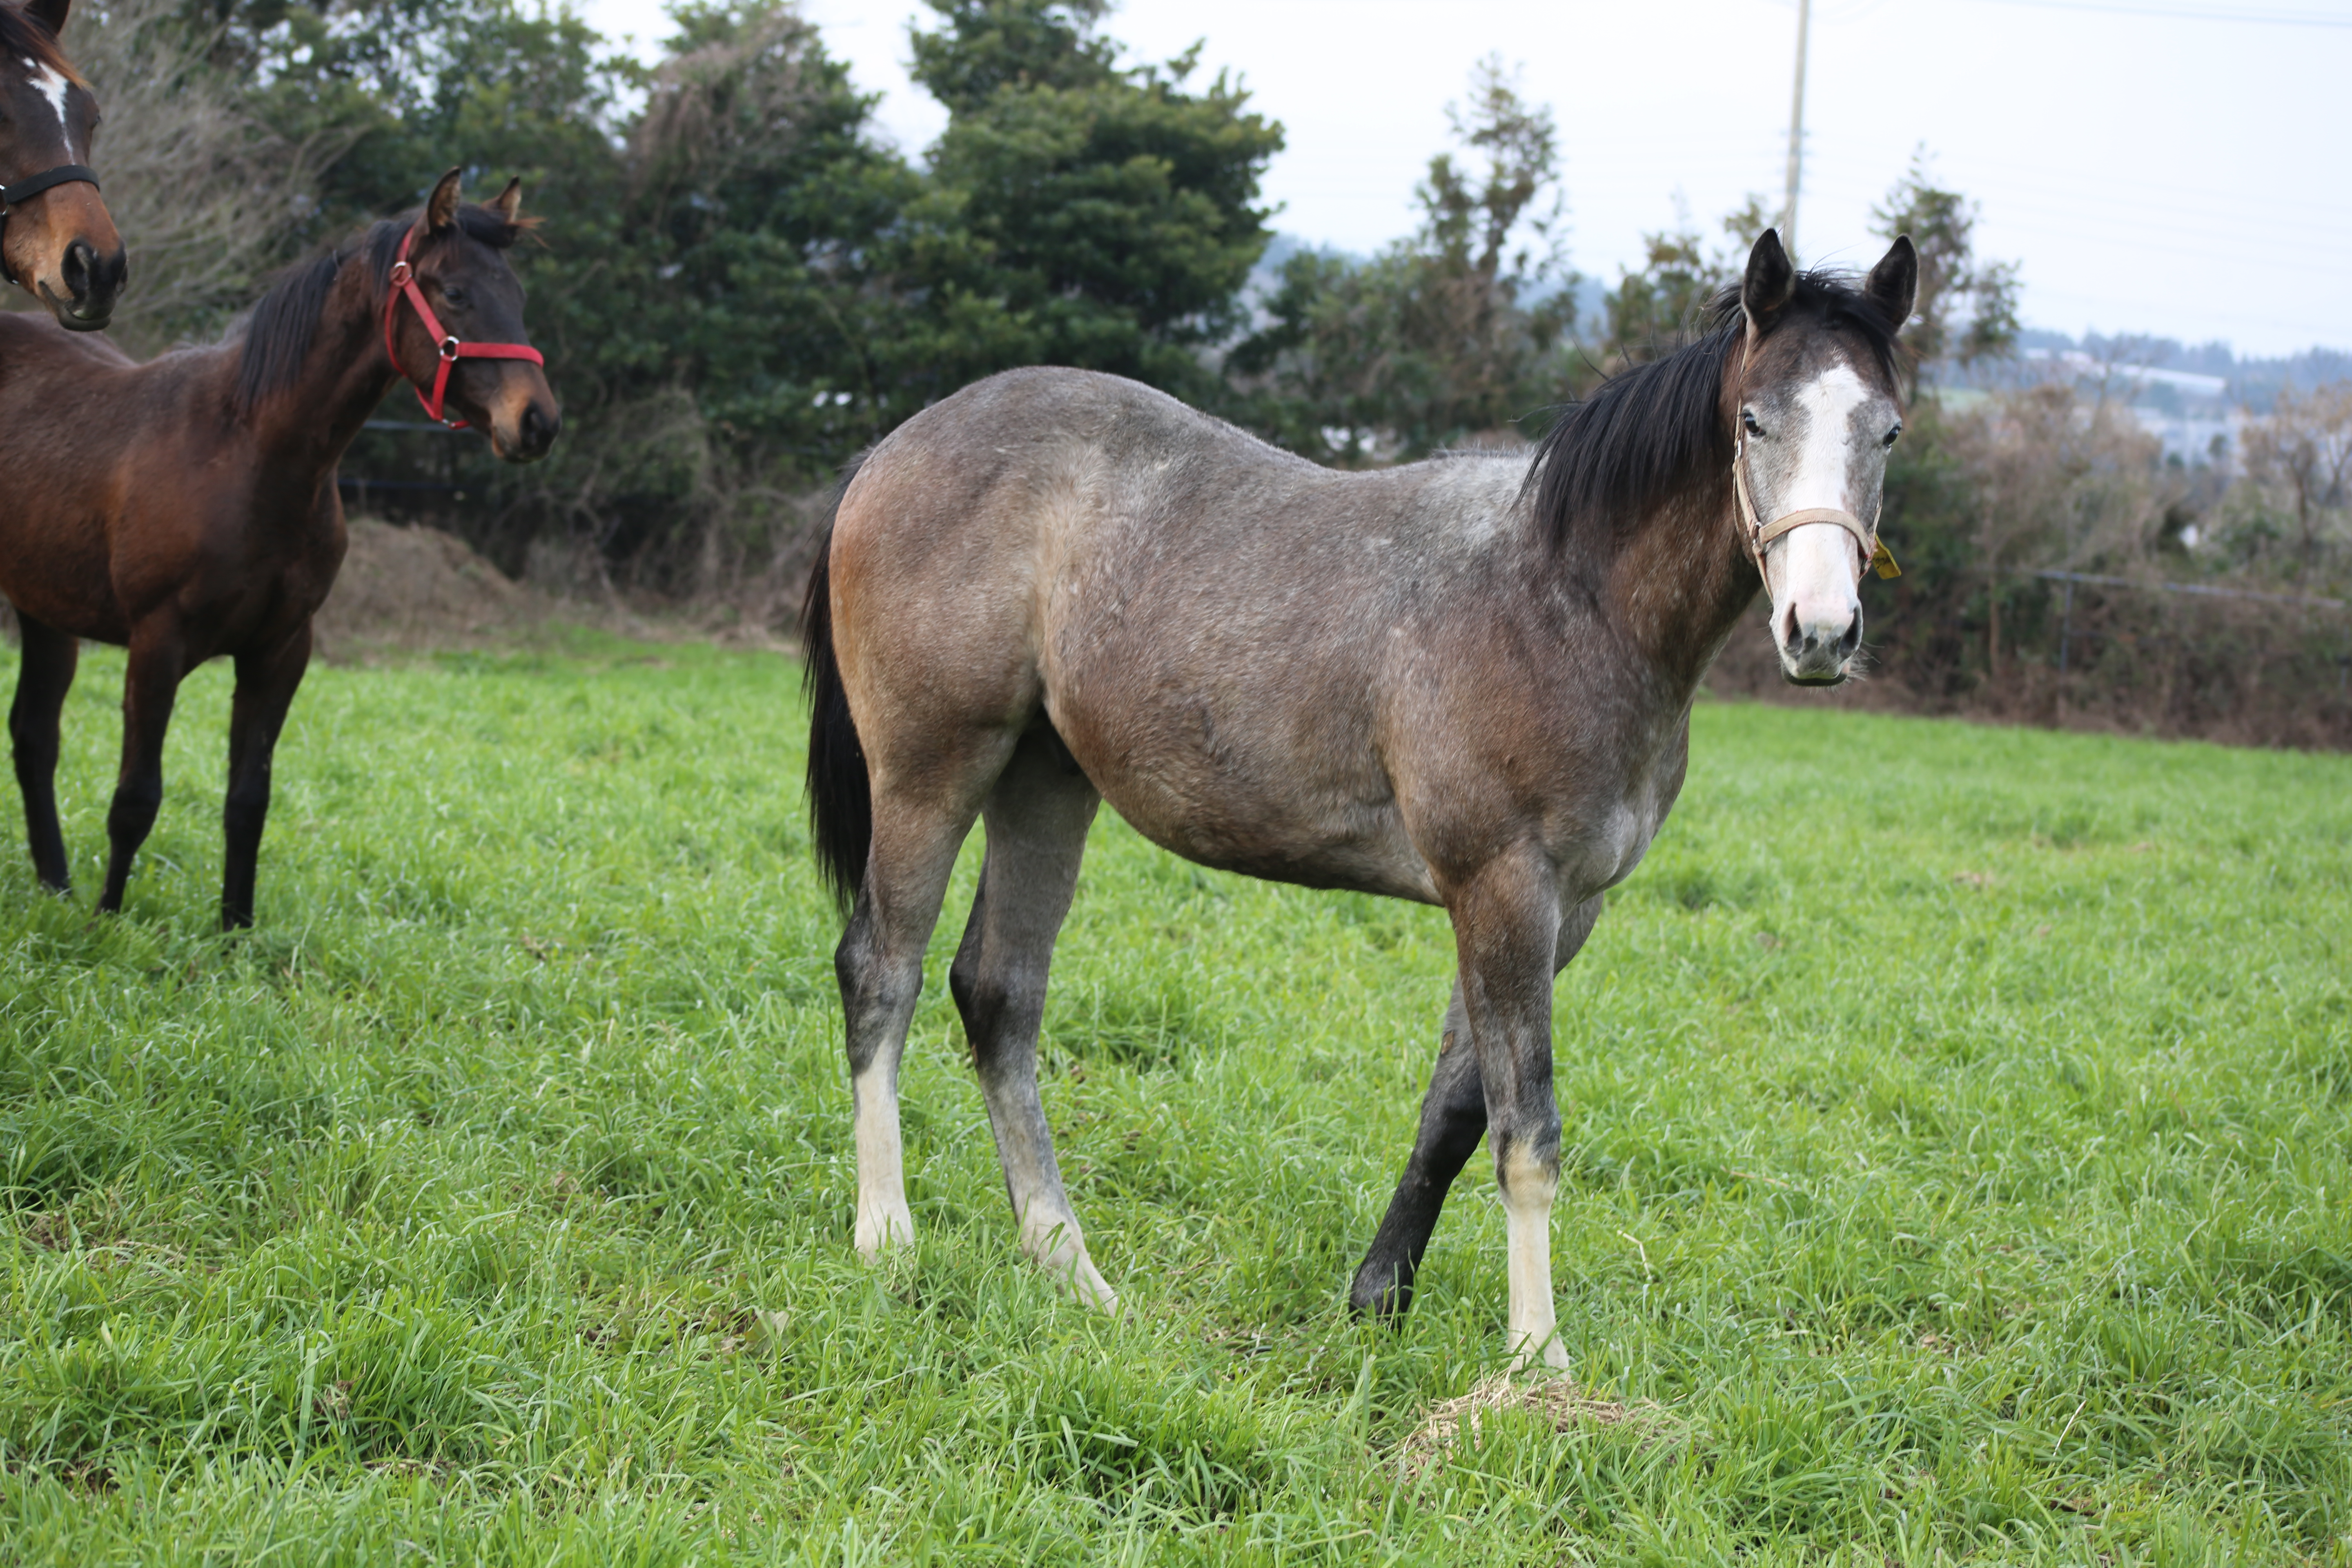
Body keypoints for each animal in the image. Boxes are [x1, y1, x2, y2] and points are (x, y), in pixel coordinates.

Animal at [0, 172, 559, 931]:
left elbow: (248, 801)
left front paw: (235, 932)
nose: (537, 422)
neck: (251, 450)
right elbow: (136, 799)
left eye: (519, 297)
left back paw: (56, 887)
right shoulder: (157, 644)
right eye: (456, 294)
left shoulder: (281, 649)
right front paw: (109, 923)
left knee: (35, 735)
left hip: (47, 611)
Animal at [804, 227, 1910, 1363]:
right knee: (880, 969)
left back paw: (1071, 1270)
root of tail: (889, 453)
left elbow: (1457, 1113)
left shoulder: (1563, 909)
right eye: (1753, 420)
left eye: (1887, 431)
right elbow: (1527, 1130)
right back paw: (887, 1237)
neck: (1563, 599)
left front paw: (1380, 1297)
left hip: (1044, 779)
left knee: (999, 996)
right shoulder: (1502, 887)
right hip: (931, 769)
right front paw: (1537, 1357)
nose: (1821, 631)